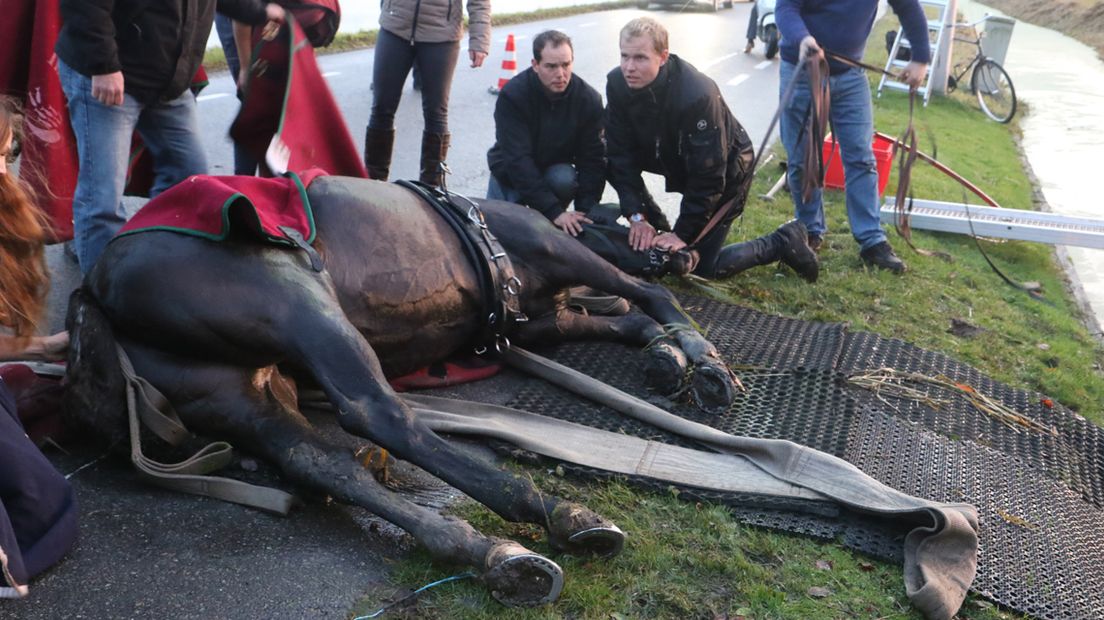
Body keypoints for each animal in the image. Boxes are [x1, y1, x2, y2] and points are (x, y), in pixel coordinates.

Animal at [66, 174, 741, 604]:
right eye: (628, 223)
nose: (683, 254)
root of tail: (96, 285)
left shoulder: (543, 323)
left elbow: (629, 320)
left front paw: (668, 356)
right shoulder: (556, 260)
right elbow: (644, 296)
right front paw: (701, 358)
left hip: (234, 393)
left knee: (318, 462)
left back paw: (483, 551)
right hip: (300, 302)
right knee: (377, 413)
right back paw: (551, 512)